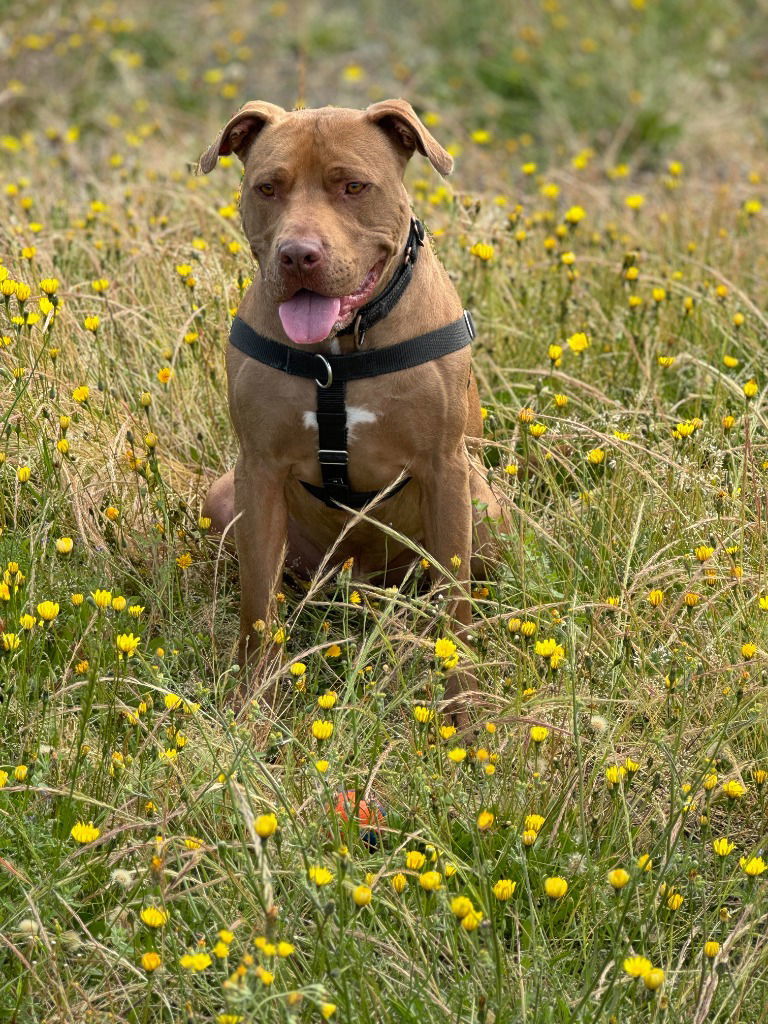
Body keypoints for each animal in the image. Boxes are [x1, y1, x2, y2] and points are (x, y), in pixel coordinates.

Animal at [198, 101, 505, 712]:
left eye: (353, 186)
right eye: (268, 187)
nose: (298, 255)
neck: (339, 352)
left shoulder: (444, 469)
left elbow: (455, 609)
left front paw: (463, 711)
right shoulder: (258, 470)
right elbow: (256, 608)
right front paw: (251, 708)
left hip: (485, 507)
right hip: (224, 499)